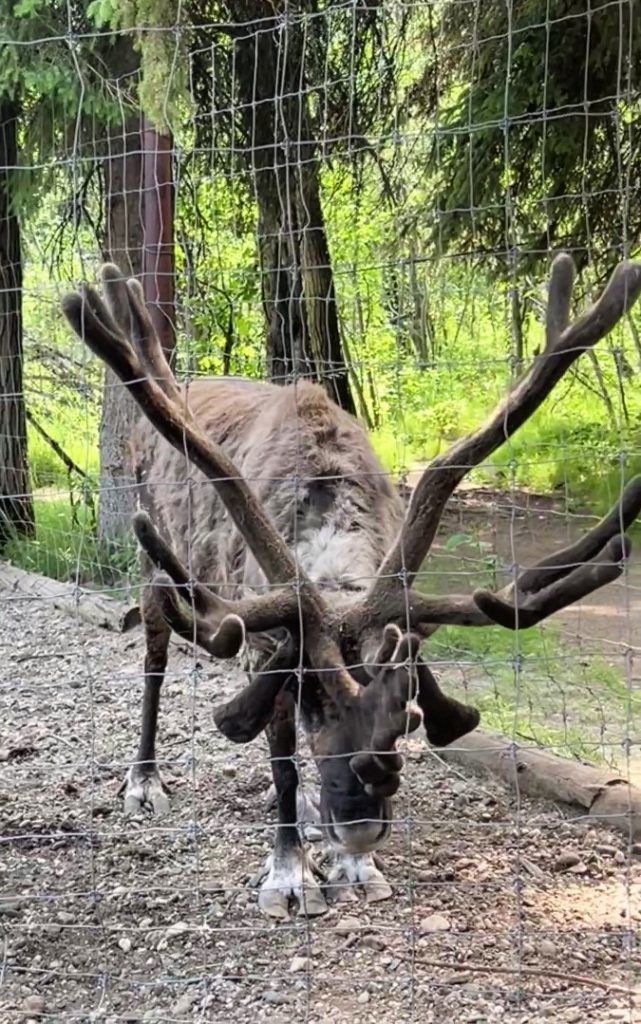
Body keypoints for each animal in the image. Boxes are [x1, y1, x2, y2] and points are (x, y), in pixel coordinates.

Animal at [61, 253, 641, 919]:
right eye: (309, 697)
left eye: (408, 710)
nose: (360, 826)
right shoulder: (272, 641)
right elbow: (283, 762)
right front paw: (290, 873)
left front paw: (355, 866)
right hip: (150, 557)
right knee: (154, 657)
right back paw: (145, 780)